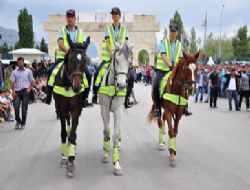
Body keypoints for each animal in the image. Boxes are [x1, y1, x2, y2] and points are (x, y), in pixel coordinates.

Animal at [98, 42, 134, 175]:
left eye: (129, 62)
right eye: (116, 60)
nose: (122, 85)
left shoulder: (118, 110)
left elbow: (115, 134)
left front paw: (117, 164)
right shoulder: (104, 109)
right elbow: (107, 131)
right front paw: (105, 155)